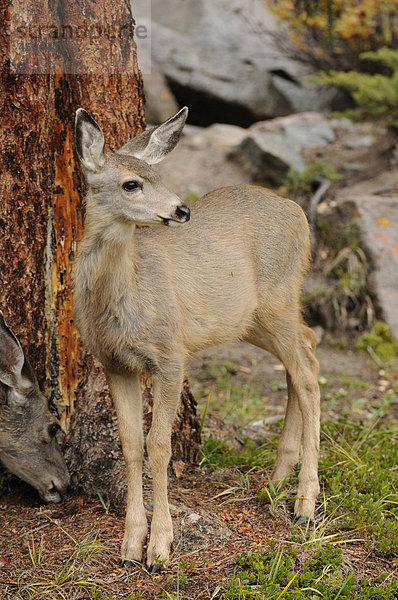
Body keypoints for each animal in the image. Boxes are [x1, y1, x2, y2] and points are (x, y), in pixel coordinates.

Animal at [72, 108, 320, 572]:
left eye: (160, 174)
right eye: (132, 183)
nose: (181, 209)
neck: (124, 297)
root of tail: (299, 211)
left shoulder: (170, 355)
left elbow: (159, 446)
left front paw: (159, 548)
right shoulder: (114, 363)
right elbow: (130, 445)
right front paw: (130, 545)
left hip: (278, 298)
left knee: (308, 373)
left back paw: (305, 502)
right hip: (251, 318)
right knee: (308, 350)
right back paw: (276, 480)